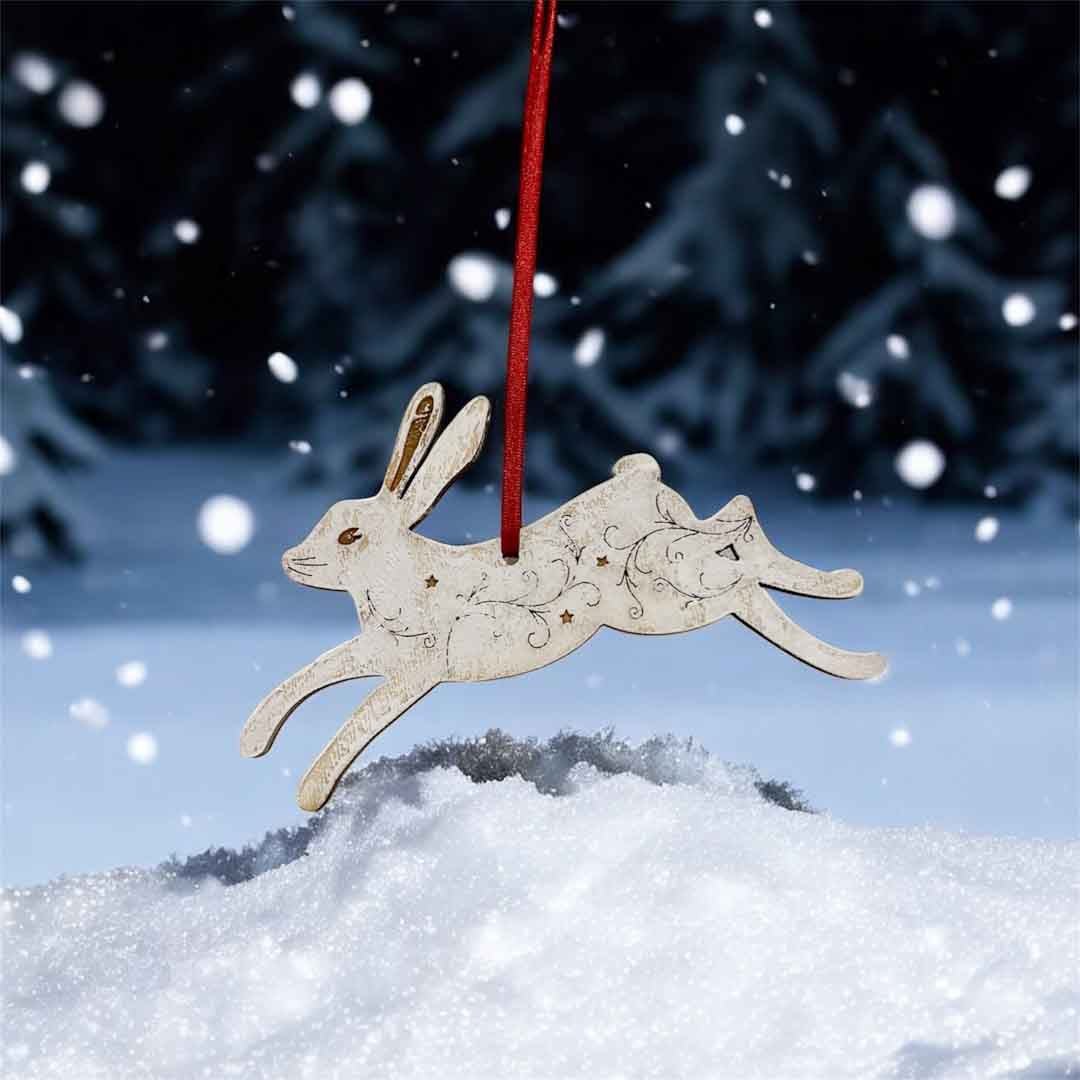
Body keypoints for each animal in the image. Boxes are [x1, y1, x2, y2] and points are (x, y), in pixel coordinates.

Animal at [241, 382, 886, 812]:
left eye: (350, 535)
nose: (289, 560)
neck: (403, 578)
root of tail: (644, 478)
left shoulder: (419, 669)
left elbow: (361, 717)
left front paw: (313, 789)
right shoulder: (377, 651)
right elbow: (311, 674)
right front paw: (255, 738)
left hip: (660, 599)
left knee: (745, 556)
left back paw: (851, 636)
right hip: (676, 571)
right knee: (738, 530)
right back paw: (844, 598)